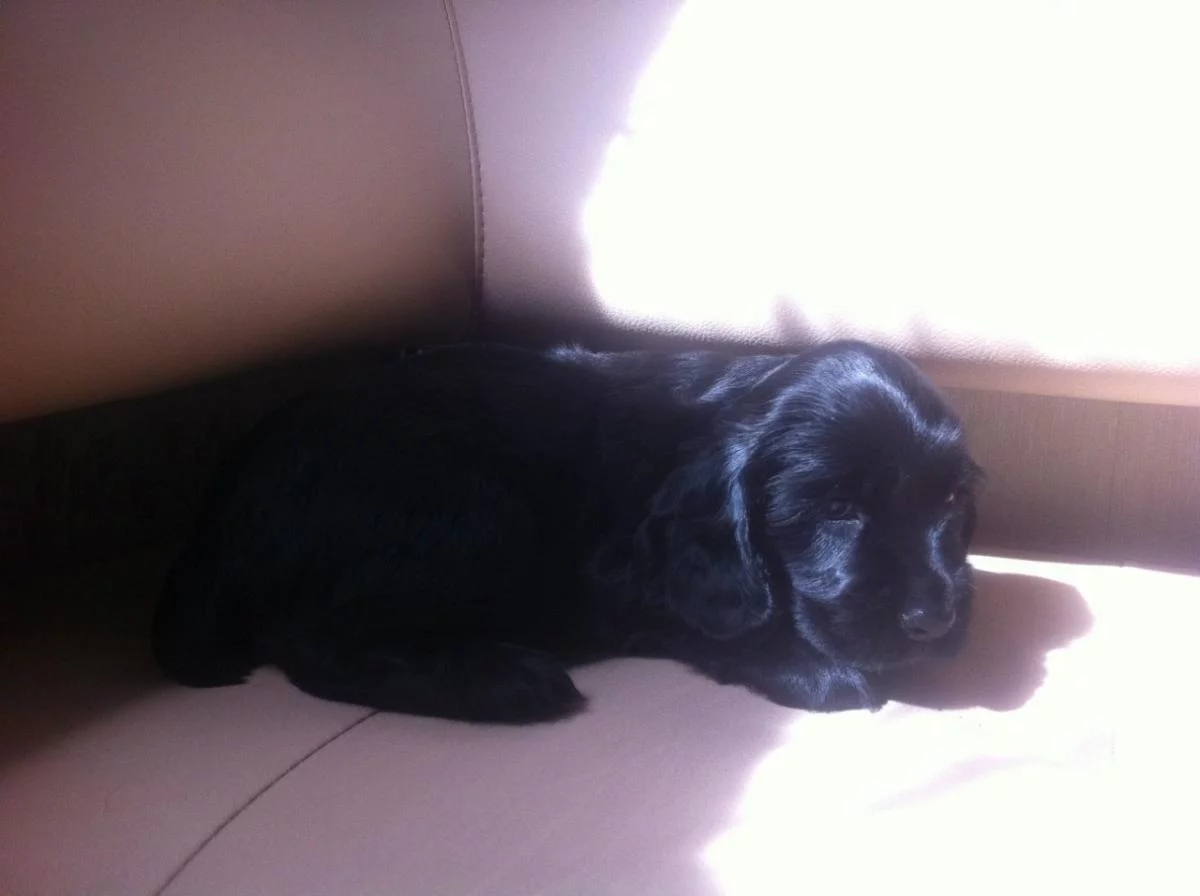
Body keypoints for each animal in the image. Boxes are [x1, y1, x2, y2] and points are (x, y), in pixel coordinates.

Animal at [152, 339, 982, 723]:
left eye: (951, 501)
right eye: (836, 508)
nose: (935, 621)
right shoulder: (626, 571)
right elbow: (720, 622)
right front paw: (814, 670)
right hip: (472, 511)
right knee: (309, 640)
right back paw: (508, 680)